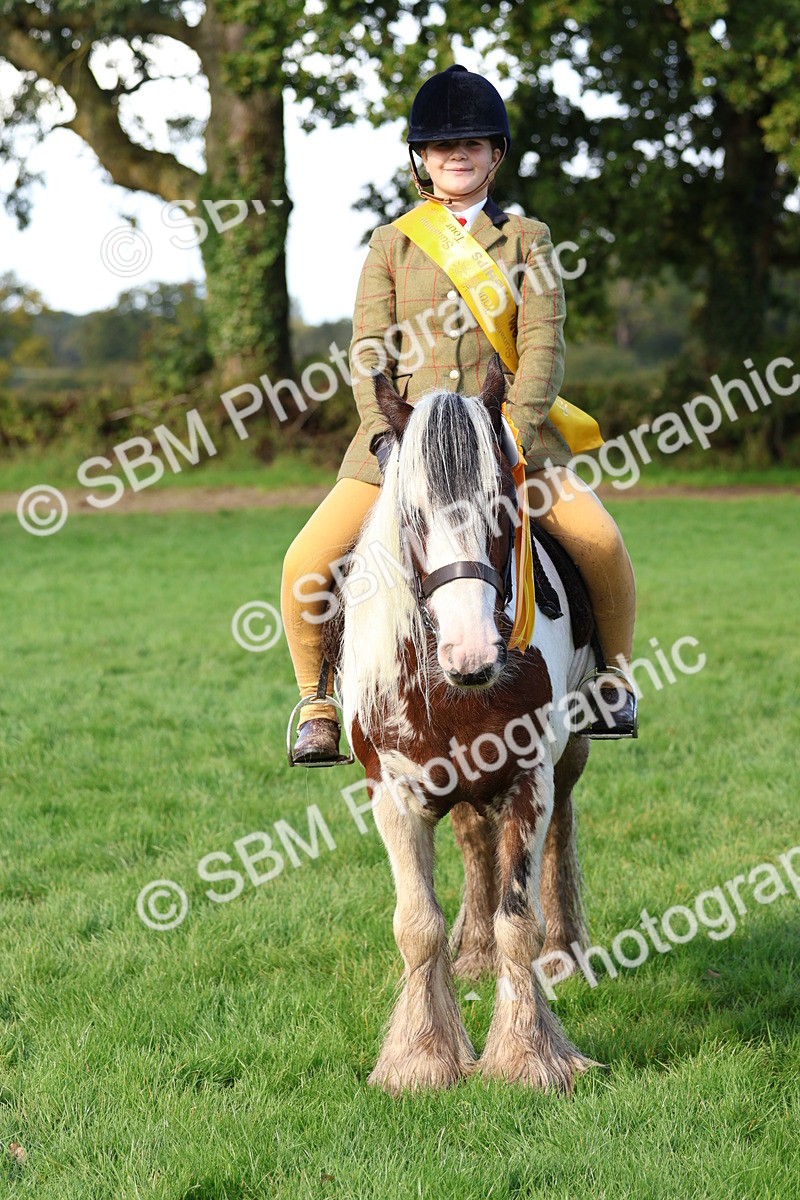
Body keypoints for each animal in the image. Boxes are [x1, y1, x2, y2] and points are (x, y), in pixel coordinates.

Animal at [336, 355, 598, 1095]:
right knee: (474, 839)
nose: (472, 654)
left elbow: (520, 920)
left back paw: (566, 950)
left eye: (502, 505)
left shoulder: (530, 778)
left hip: (570, 750)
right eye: (414, 514)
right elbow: (417, 925)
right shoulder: (394, 791)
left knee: (561, 830)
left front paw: (529, 1056)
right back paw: (473, 952)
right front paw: (422, 1058)